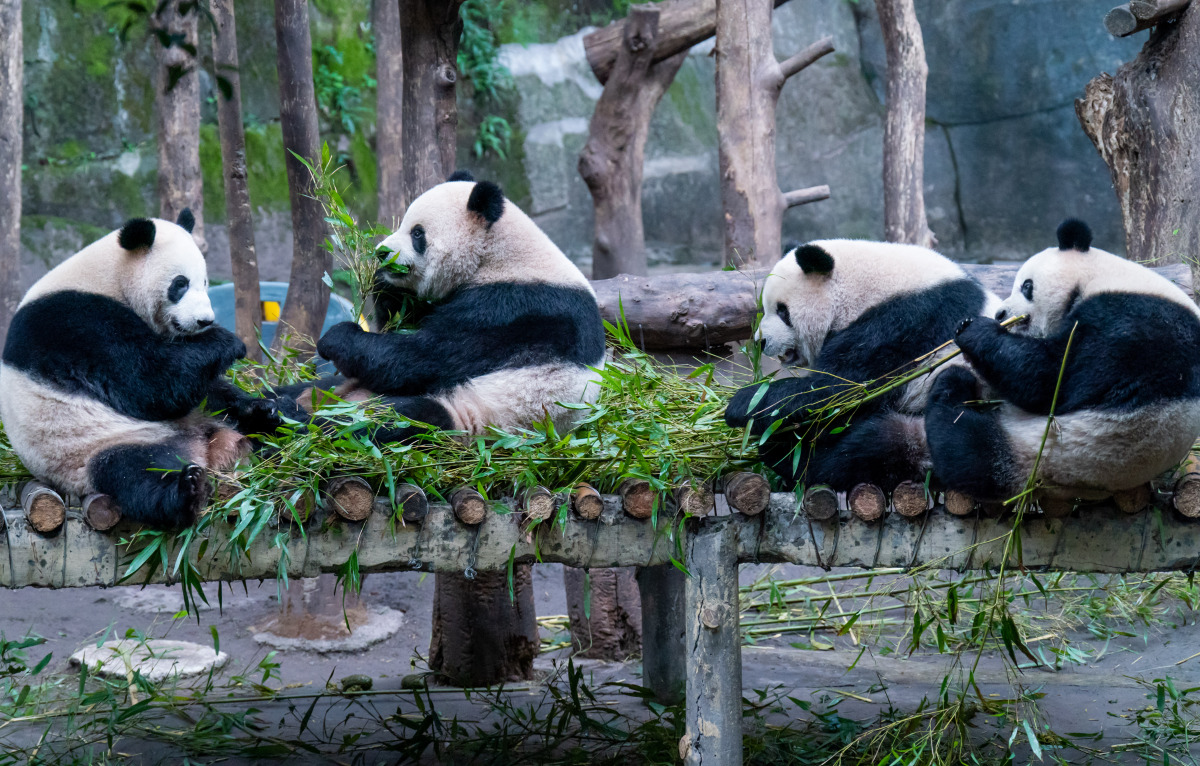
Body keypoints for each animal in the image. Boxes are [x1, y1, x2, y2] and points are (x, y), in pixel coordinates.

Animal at [0, 213, 274, 530]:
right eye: (180, 284)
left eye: (205, 282)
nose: (204, 320)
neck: (109, 277)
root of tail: (205, 447)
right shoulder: (78, 324)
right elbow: (151, 383)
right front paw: (228, 340)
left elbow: (202, 386)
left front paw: (259, 405)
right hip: (95, 447)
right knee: (135, 474)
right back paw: (186, 491)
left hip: (214, 422)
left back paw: (267, 423)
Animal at [276, 171, 604, 441]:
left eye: (417, 233)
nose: (382, 253)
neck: (501, 255)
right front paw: (383, 282)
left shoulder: (510, 308)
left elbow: (419, 358)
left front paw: (335, 338)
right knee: (308, 388)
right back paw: (268, 403)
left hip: (478, 412)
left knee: (387, 419)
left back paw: (288, 419)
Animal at [724, 240, 998, 492]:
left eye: (783, 311)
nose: (760, 342)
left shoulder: (907, 323)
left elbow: (839, 390)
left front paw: (742, 403)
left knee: (871, 447)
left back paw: (785, 455)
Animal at [926, 220, 1200, 504]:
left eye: (1026, 286)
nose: (1001, 313)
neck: (1103, 276)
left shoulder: (1130, 322)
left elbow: (1047, 379)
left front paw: (973, 330)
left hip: (1042, 450)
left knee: (965, 446)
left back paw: (952, 385)